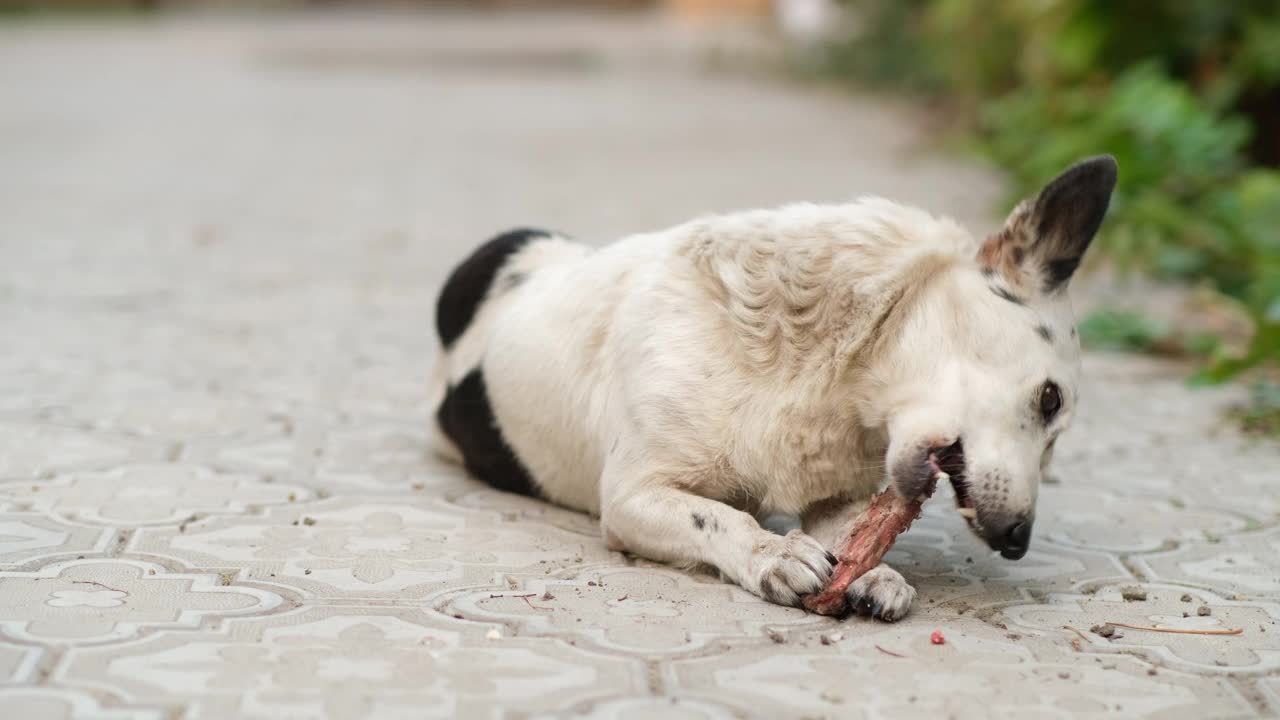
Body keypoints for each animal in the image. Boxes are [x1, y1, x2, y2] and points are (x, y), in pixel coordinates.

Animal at [427, 155, 1111, 617]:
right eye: (1050, 399)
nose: (1018, 542)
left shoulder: (837, 497)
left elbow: (851, 537)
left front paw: (873, 574)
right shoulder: (630, 496)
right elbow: (717, 516)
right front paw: (774, 554)